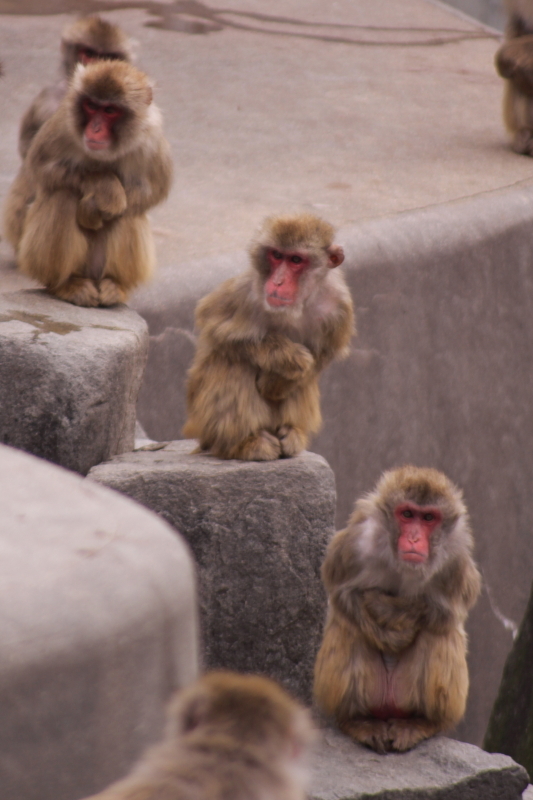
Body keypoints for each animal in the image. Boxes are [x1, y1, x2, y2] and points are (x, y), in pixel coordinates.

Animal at [4, 59, 170, 308]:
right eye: (91, 106)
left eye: (110, 110)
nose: (95, 128)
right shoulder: (62, 123)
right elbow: (41, 167)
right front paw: (102, 187)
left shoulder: (151, 139)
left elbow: (153, 190)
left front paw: (96, 205)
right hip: (38, 260)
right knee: (63, 197)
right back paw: (66, 284)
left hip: (99, 268)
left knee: (128, 212)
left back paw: (115, 285)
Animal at [183, 212, 354, 462]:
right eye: (276, 255)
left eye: (296, 260)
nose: (278, 281)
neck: (298, 304)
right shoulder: (244, 292)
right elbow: (216, 328)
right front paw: (290, 360)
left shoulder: (339, 308)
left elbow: (324, 355)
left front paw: (276, 383)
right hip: (202, 423)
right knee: (232, 363)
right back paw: (244, 443)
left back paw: (292, 433)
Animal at [314, 466, 480, 752]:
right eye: (407, 514)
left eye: (428, 518)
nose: (414, 538)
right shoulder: (355, 544)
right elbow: (342, 594)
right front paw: (387, 628)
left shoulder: (456, 561)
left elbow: (445, 612)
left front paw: (391, 611)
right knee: (350, 628)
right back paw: (357, 720)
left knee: (437, 633)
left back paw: (422, 722)